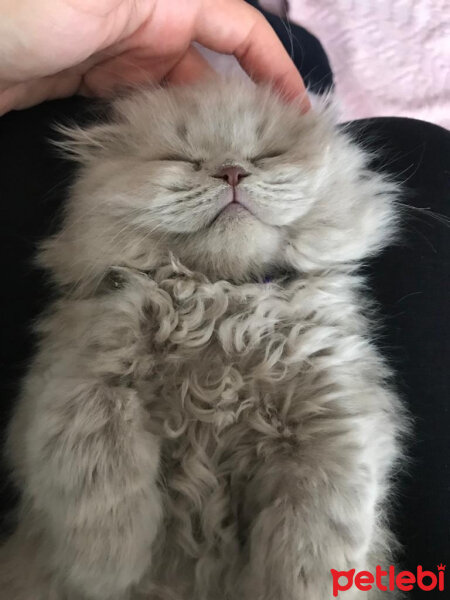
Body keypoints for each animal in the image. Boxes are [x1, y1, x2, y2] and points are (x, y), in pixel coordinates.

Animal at [0, 81, 406, 600]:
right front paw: (108, 567)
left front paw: (310, 582)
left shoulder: (337, 407)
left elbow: (323, 517)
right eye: (181, 158)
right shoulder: (77, 379)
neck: (221, 304)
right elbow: (98, 472)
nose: (231, 171)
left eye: (266, 155)